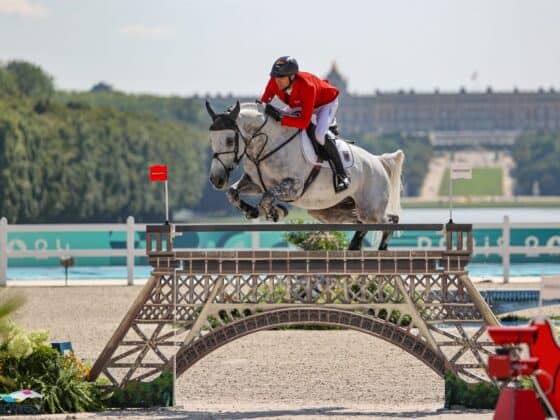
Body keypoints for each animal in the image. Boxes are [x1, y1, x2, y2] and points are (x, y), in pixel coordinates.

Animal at [206, 100, 402, 249]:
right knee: (365, 223)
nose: (217, 180)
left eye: (230, 140)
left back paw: (381, 250)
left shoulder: (294, 186)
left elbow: (268, 197)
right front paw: (254, 211)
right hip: (332, 211)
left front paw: (277, 212)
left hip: (370, 209)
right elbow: (233, 193)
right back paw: (355, 246)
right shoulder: (255, 183)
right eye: (211, 140)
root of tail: (377, 161)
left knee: (389, 222)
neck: (266, 145)